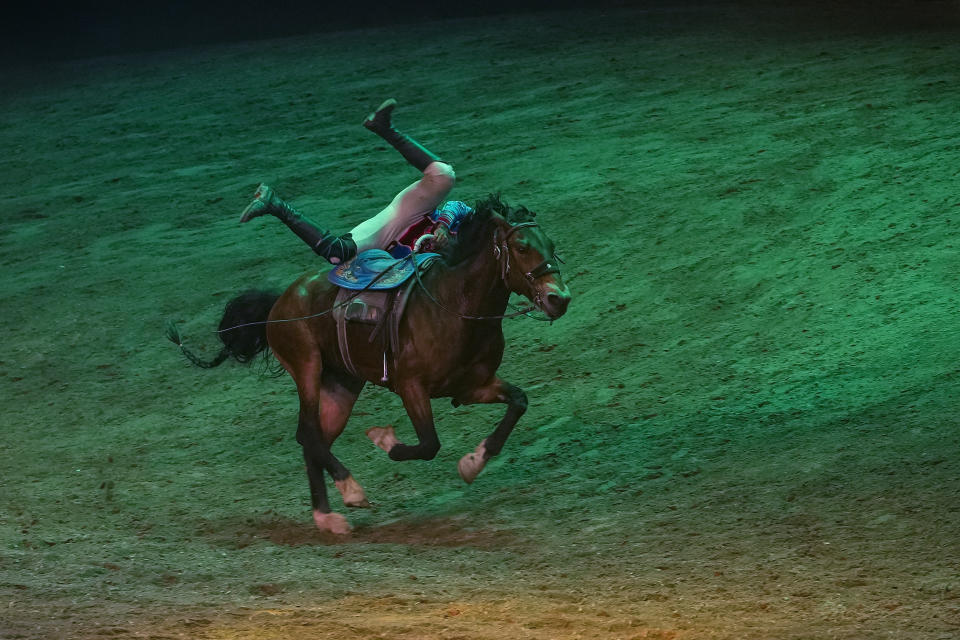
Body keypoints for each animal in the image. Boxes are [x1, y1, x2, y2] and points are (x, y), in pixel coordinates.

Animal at [168, 195, 568, 536]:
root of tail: (277, 304)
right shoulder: (411, 386)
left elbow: (518, 402)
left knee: (313, 439)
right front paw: (384, 439)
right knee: (309, 432)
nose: (559, 299)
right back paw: (351, 490)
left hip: (341, 385)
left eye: (552, 246)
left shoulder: (473, 385)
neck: (454, 305)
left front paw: (473, 462)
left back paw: (326, 517)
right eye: (521, 247)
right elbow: (428, 444)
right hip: (307, 368)